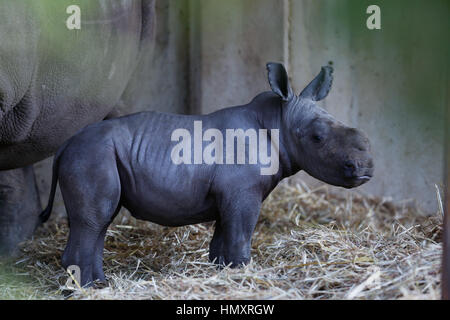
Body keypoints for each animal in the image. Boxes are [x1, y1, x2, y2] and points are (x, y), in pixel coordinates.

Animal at [41, 63, 372, 288]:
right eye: (317, 138)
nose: (366, 168)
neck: (279, 119)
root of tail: (64, 145)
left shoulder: (232, 194)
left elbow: (222, 240)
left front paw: (221, 272)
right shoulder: (243, 194)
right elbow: (240, 237)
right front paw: (242, 275)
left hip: (93, 154)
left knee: (99, 221)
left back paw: (99, 285)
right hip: (91, 155)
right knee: (95, 220)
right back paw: (91, 288)